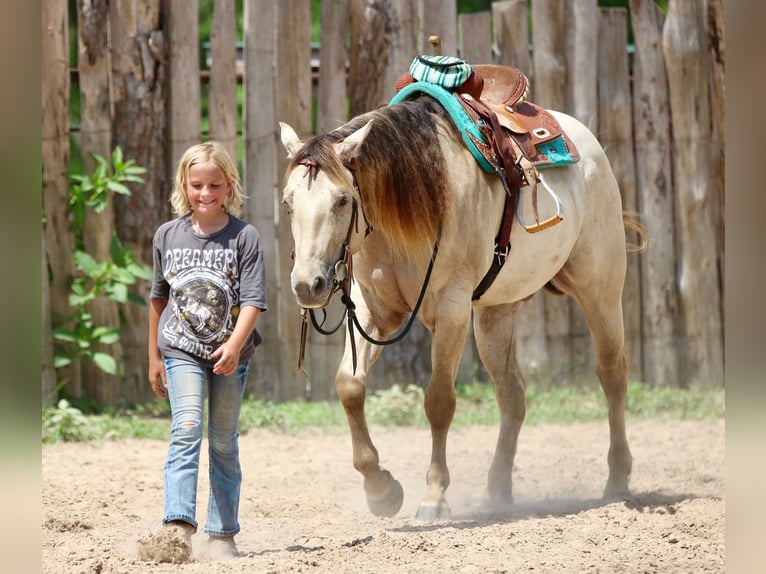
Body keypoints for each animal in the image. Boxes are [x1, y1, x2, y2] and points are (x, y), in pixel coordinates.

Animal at [279, 91, 641, 521]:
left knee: (613, 374)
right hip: (496, 314)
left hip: (599, 290)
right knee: (513, 394)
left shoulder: (451, 311)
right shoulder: (373, 309)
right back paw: (497, 490)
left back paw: (616, 479)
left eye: (342, 200)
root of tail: (587, 142)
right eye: (288, 203)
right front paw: (381, 490)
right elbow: (349, 386)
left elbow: (439, 401)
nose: (308, 284)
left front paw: (434, 496)